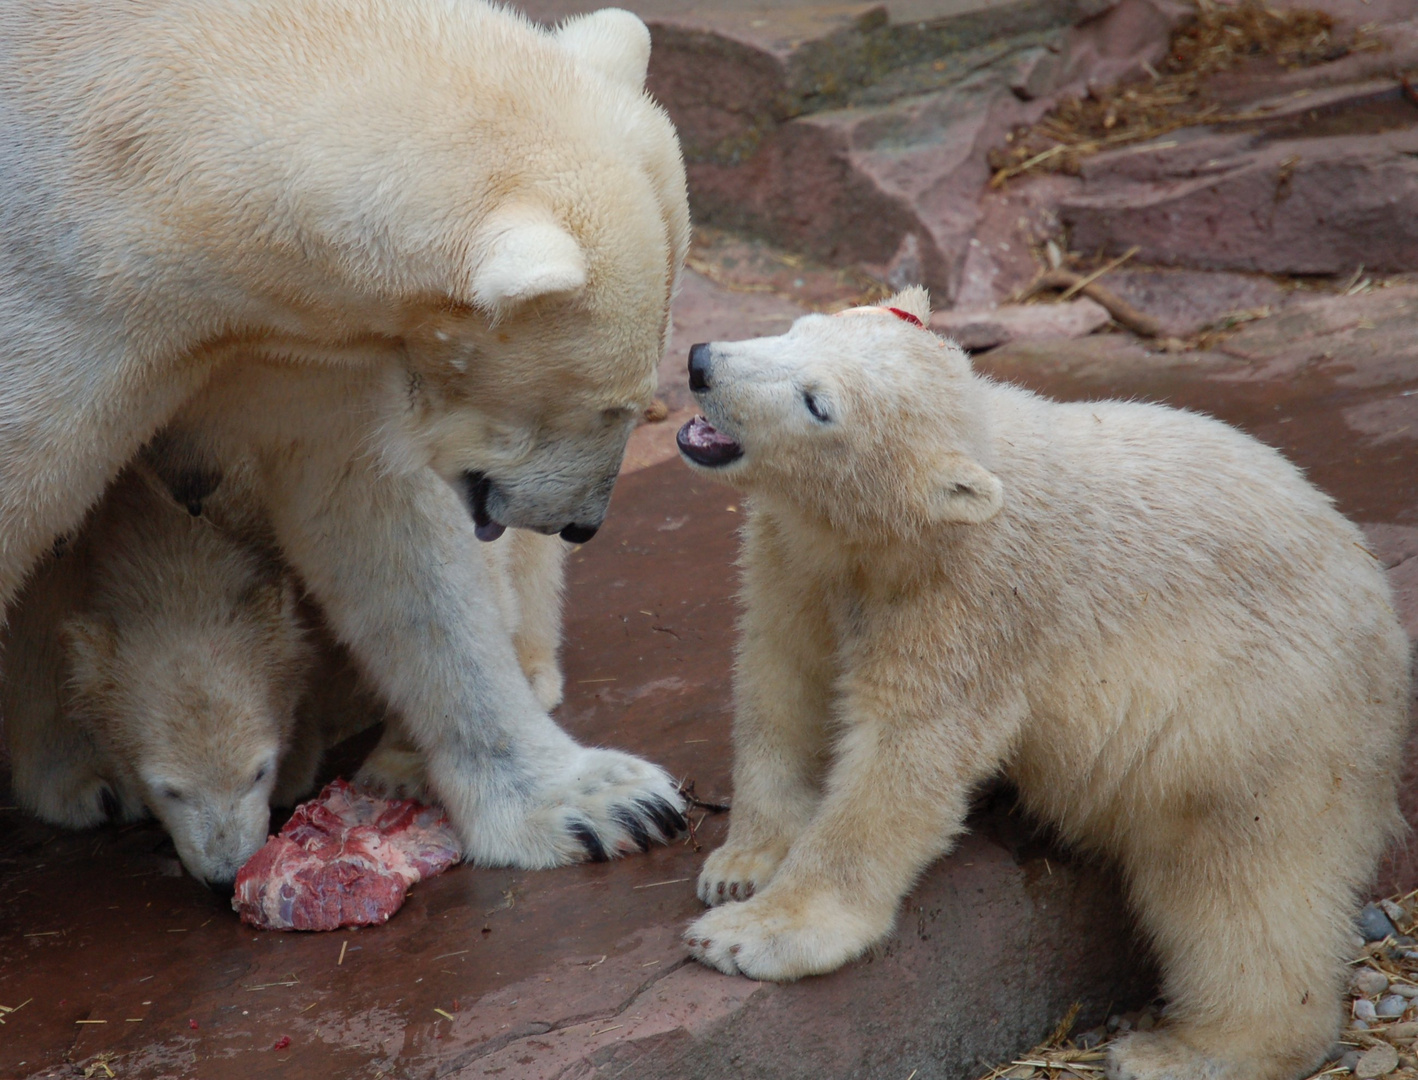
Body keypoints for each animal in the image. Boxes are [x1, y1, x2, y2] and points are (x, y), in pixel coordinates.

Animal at [0, 0, 691, 856]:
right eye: (612, 406)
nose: (584, 523)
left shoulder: (296, 347)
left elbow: (381, 524)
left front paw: (600, 802)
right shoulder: (56, 317)